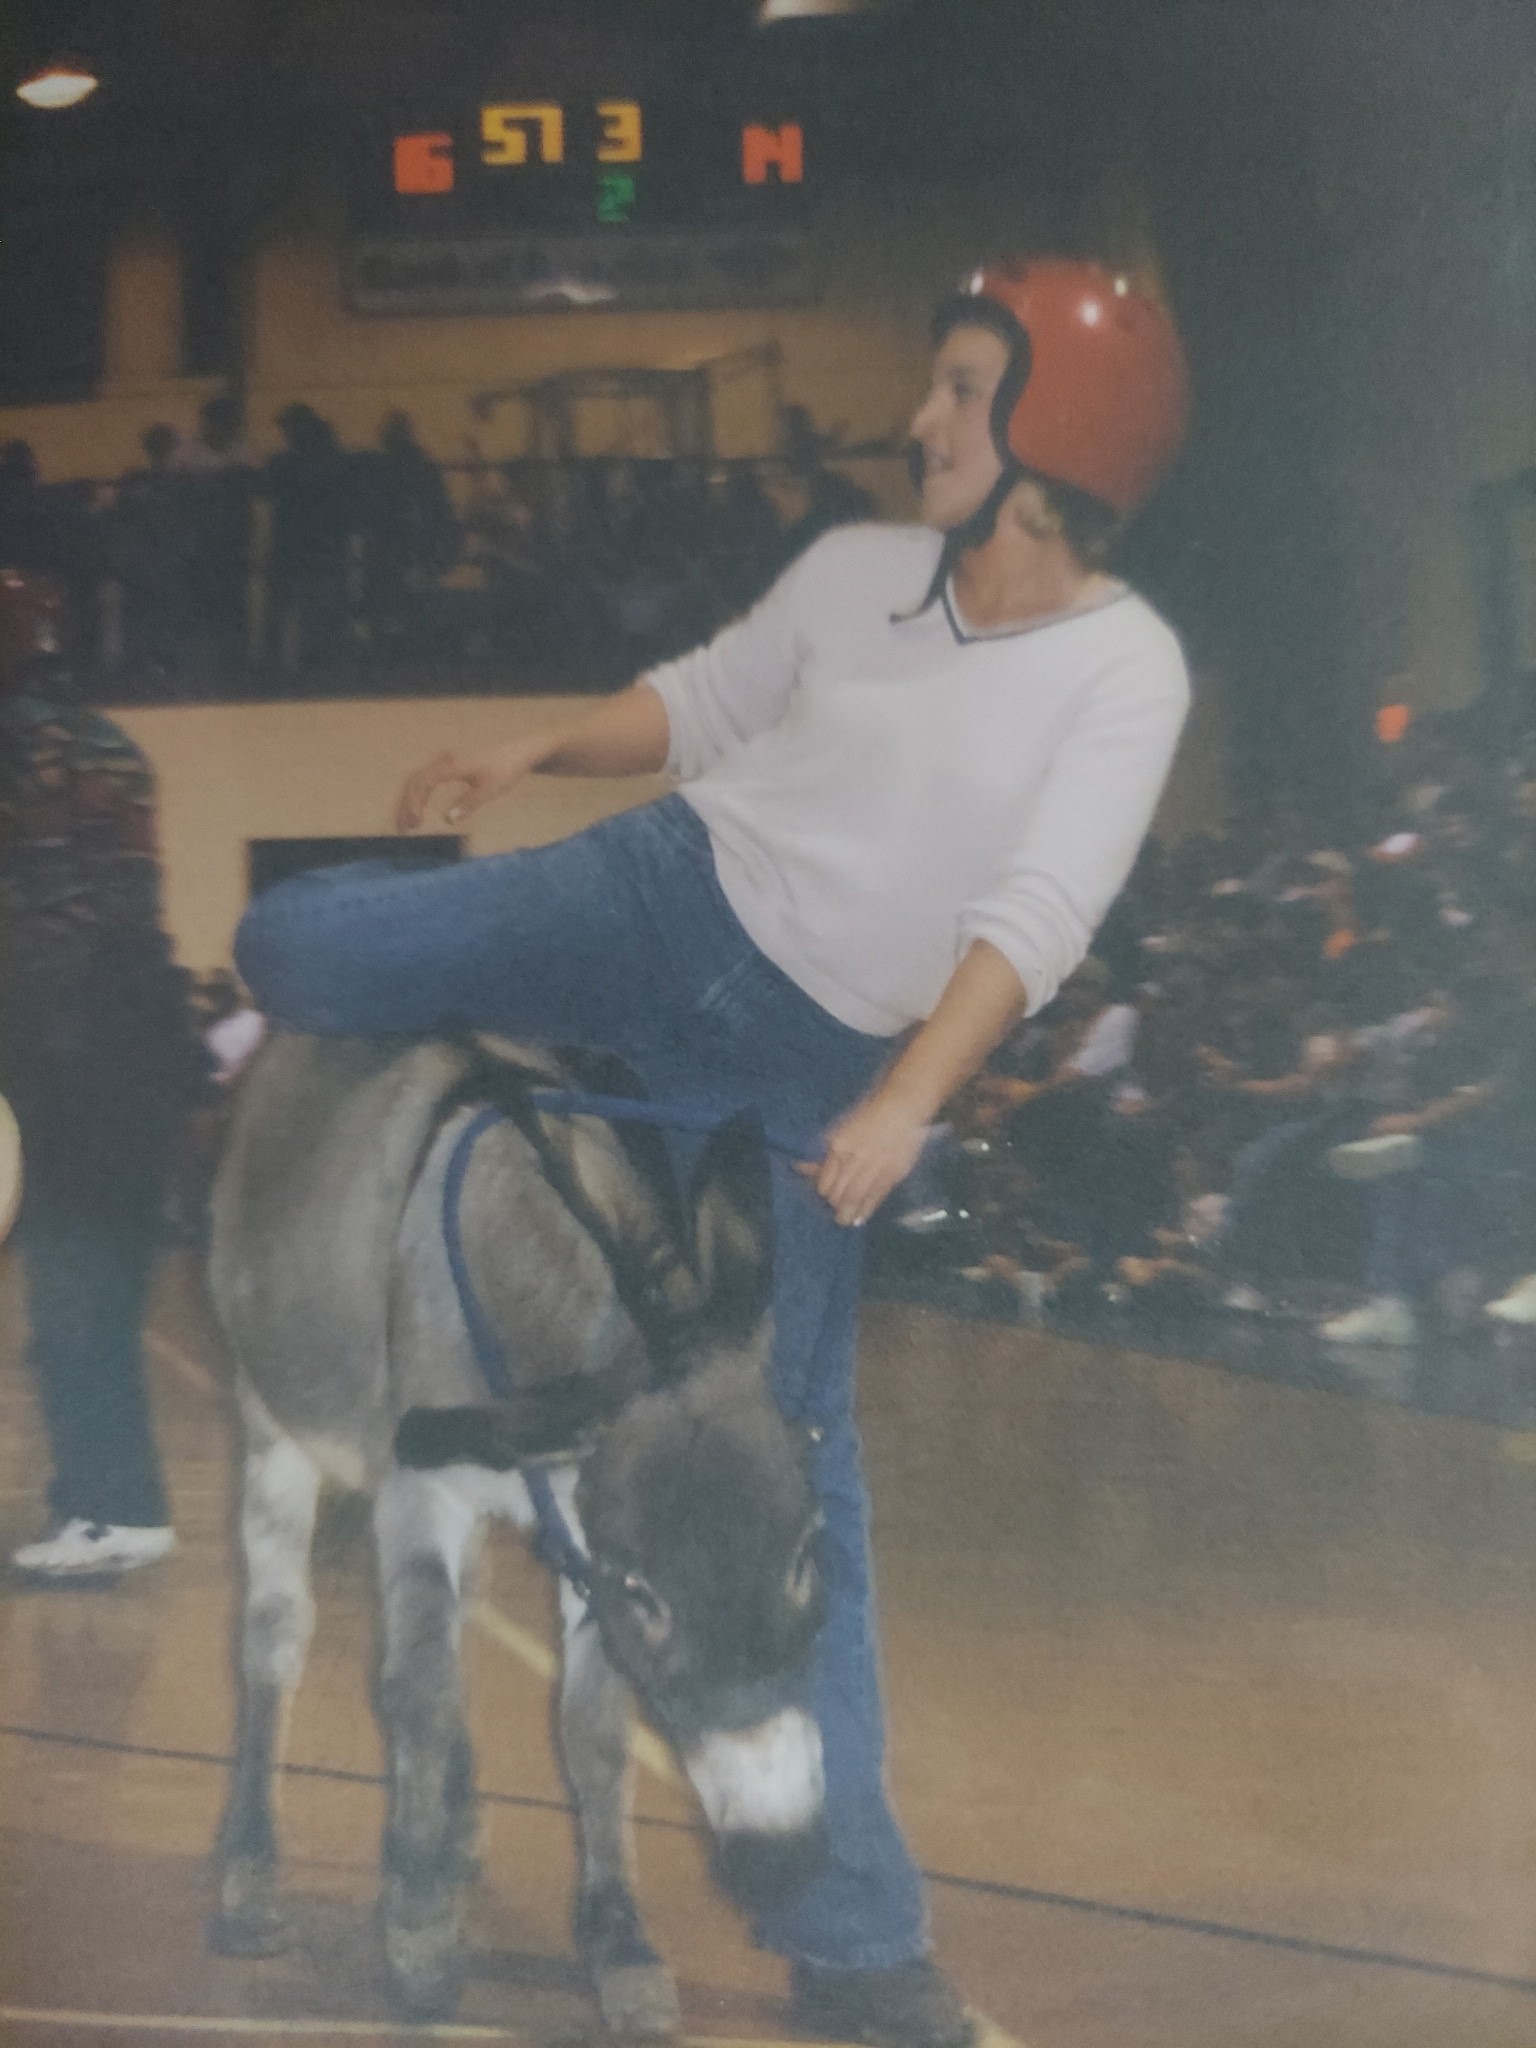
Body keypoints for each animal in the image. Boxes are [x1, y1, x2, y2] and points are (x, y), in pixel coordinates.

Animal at [207, 1030, 829, 2027]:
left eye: (806, 1555)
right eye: (646, 1591)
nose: (786, 1869)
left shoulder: (578, 1522)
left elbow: (594, 1731)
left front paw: (620, 1943)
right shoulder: (422, 1495)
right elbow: (419, 1690)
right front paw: (419, 1928)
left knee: (457, 1621)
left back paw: (453, 1820)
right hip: (274, 1427)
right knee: (276, 1639)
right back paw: (253, 1869)